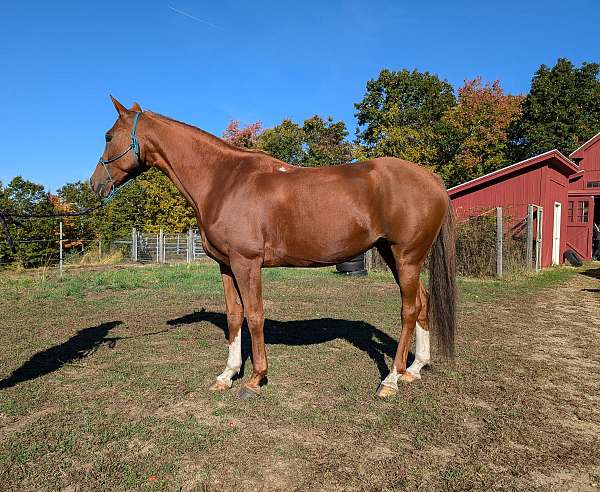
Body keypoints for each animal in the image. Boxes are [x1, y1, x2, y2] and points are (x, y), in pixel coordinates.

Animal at [90, 99, 454, 400]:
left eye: (108, 136)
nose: (96, 184)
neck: (224, 181)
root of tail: (432, 179)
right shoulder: (226, 266)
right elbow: (234, 316)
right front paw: (227, 375)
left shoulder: (246, 263)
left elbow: (254, 315)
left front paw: (255, 379)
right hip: (395, 256)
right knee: (422, 303)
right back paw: (414, 369)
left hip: (406, 257)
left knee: (409, 309)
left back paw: (391, 379)